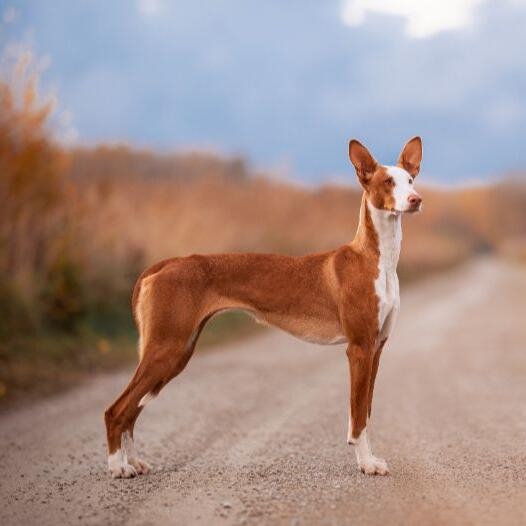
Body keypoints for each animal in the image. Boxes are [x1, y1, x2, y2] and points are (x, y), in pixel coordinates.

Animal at [106, 136, 424, 478]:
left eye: (410, 180)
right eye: (387, 182)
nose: (416, 200)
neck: (376, 259)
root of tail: (165, 264)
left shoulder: (377, 347)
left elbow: (367, 410)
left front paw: (370, 459)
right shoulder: (359, 348)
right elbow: (358, 415)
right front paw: (366, 464)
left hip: (176, 353)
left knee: (130, 411)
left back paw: (133, 461)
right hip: (166, 348)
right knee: (116, 410)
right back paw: (118, 467)